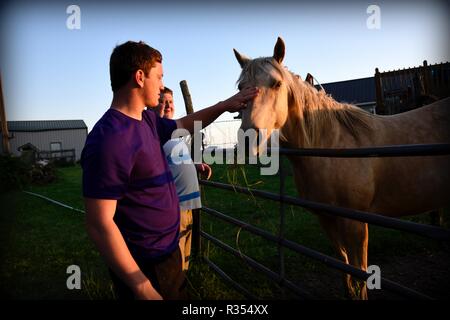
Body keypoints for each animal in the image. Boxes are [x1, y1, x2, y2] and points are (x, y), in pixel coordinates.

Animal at [234, 37, 448, 300]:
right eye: (241, 87)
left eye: (276, 83)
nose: (248, 140)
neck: (331, 145)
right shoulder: (327, 219)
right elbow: (343, 265)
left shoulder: (355, 223)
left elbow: (359, 271)